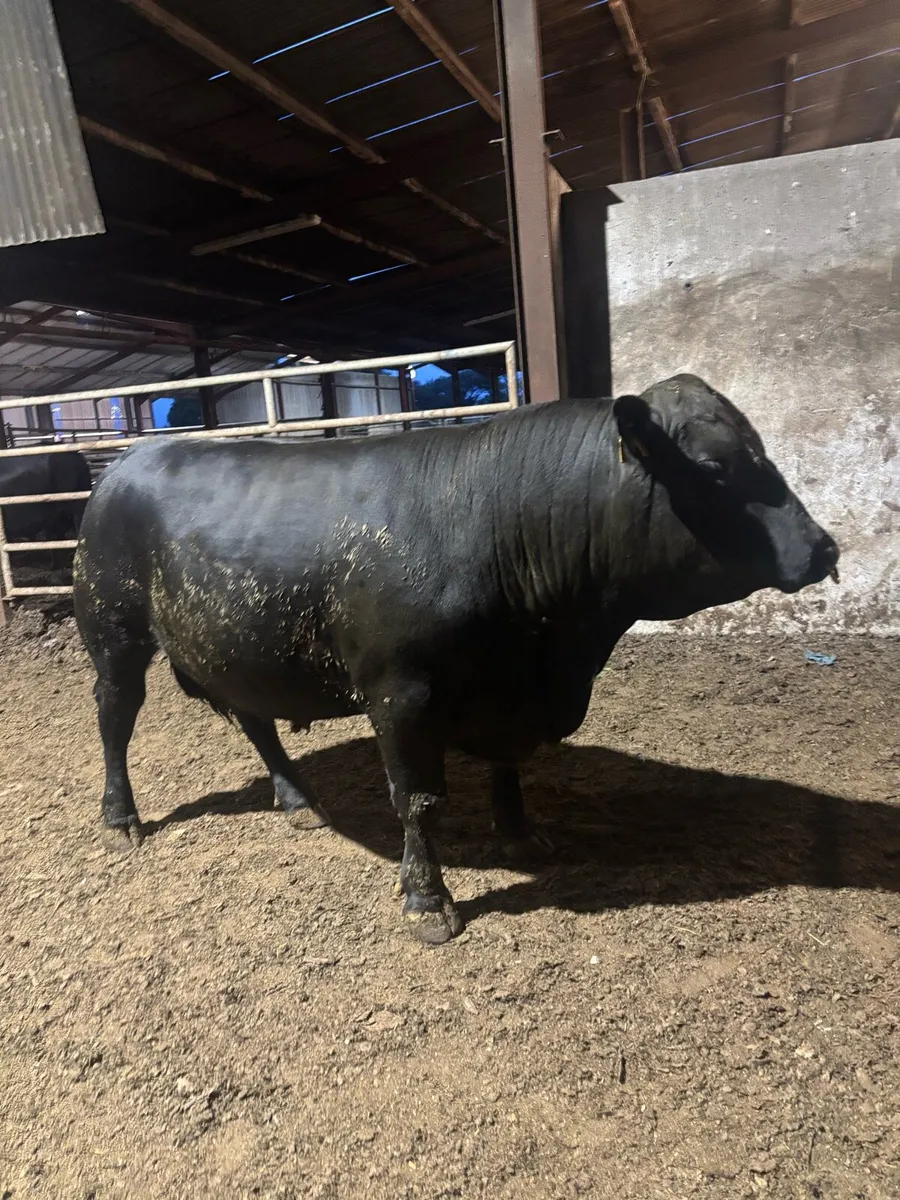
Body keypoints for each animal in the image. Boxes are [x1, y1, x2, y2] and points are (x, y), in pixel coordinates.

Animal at [74, 374, 839, 944]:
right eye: (712, 467)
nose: (824, 548)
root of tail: (128, 460)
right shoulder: (399, 694)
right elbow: (417, 799)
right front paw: (428, 899)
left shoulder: (508, 694)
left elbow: (508, 767)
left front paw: (521, 835)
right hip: (112, 631)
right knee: (115, 718)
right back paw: (120, 819)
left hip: (237, 650)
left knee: (256, 721)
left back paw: (298, 800)